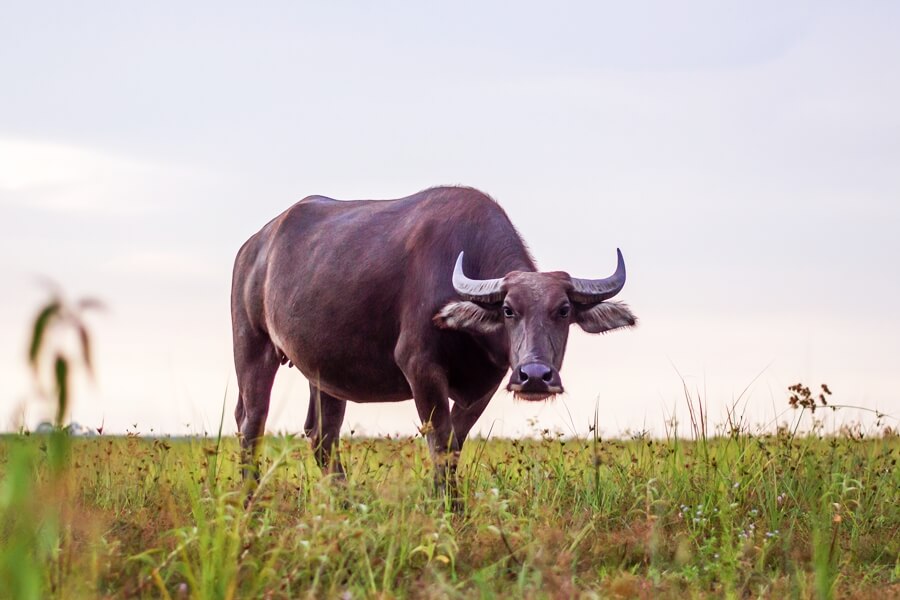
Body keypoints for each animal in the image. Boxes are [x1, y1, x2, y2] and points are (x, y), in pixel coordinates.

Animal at [231, 186, 636, 500]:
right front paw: (446, 508)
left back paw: (344, 503)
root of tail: (254, 247)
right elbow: (439, 441)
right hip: (252, 347)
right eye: (508, 309)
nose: (535, 376)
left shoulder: (487, 382)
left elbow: (455, 443)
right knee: (251, 422)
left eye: (563, 310)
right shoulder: (420, 368)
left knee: (321, 435)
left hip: (325, 371)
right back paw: (250, 500)